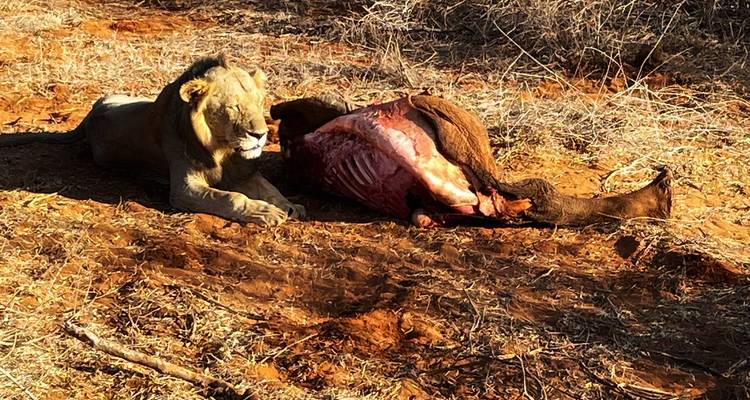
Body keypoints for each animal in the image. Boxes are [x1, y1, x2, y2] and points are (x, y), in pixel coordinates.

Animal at [0, 55, 304, 226]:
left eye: (258, 103)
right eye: (232, 108)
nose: (260, 135)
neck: (223, 149)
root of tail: (90, 114)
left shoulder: (243, 172)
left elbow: (269, 187)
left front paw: (288, 206)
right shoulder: (184, 190)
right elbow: (230, 198)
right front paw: (264, 212)